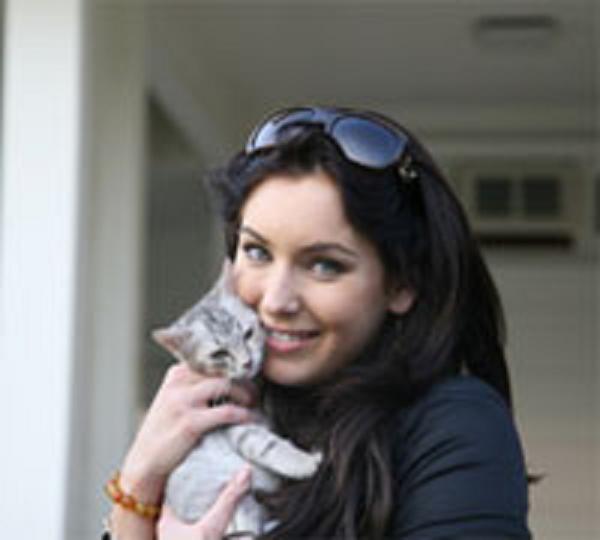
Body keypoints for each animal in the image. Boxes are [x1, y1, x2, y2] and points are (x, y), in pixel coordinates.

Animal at [152, 262, 322, 538]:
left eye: (248, 333)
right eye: (219, 354)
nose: (248, 363)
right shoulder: (227, 419)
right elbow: (265, 443)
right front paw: (303, 461)